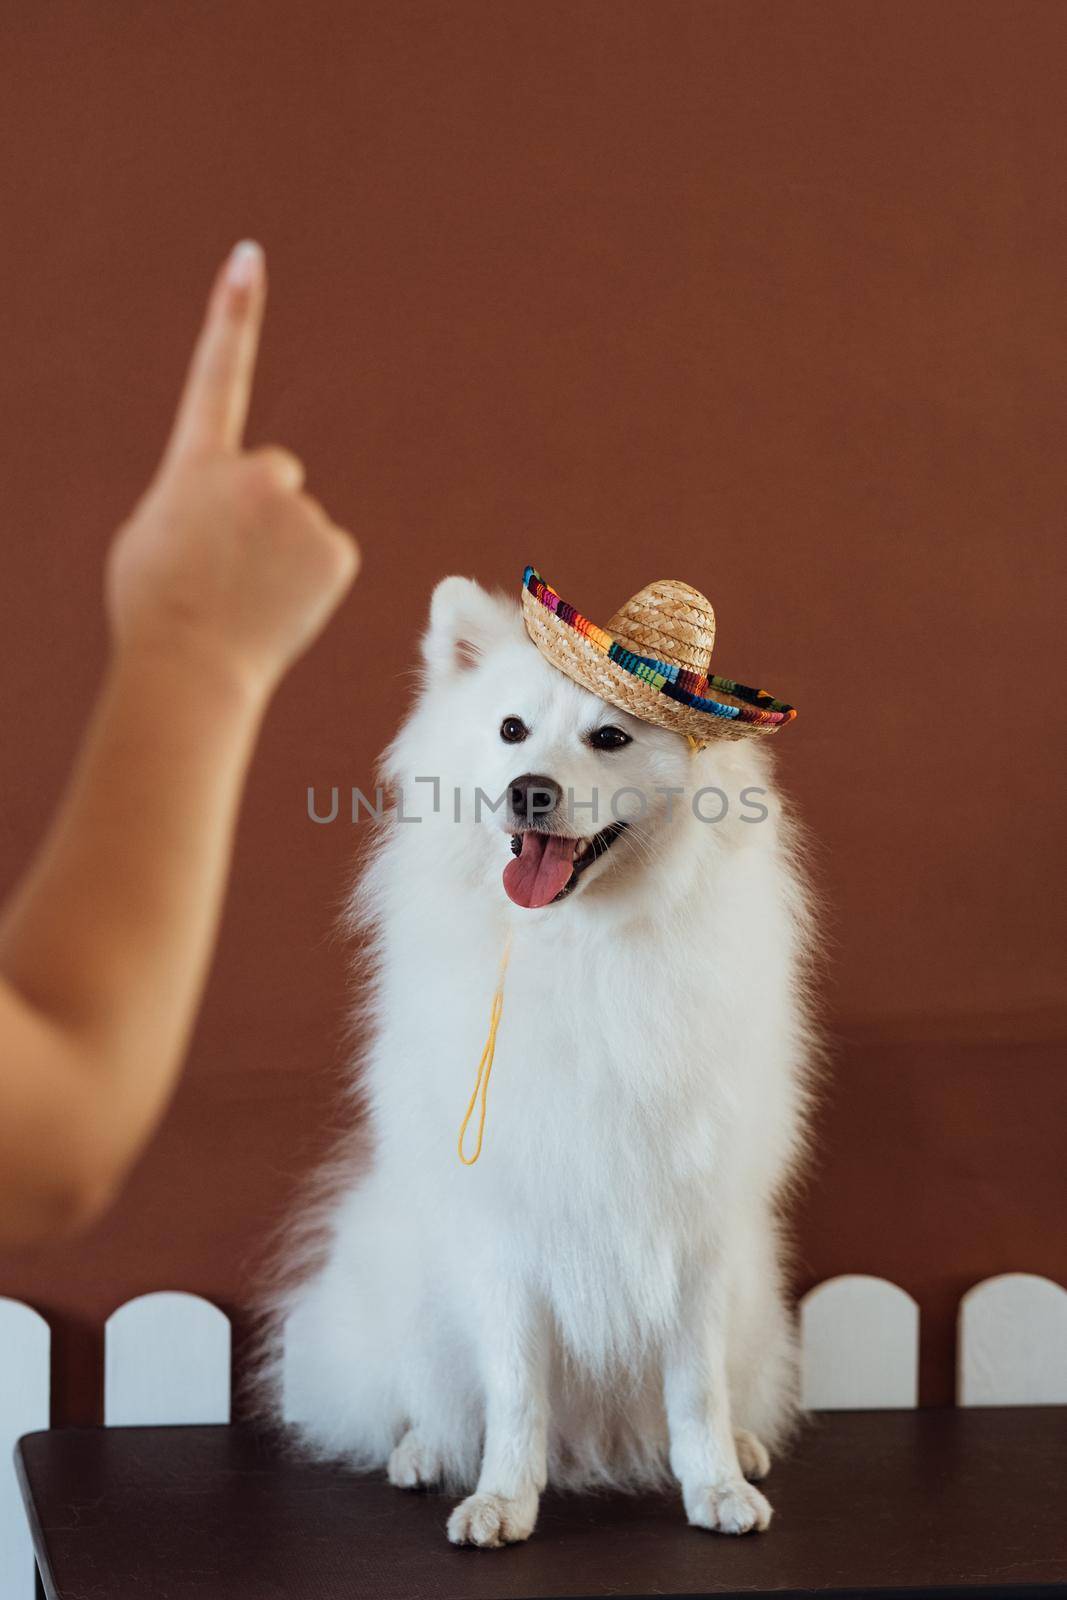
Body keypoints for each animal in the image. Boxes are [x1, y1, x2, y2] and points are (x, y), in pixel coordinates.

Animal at [267, 576, 819, 1548]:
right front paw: (501, 1500)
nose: (529, 791)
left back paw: (745, 1448)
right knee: (421, 1400)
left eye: (609, 738)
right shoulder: (508, 1229)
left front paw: (713, 1484)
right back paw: (423, 1453)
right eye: (511, 730)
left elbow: (695, 1386)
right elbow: (516, 1390)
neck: (582, 945)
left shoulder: (695, 1228)